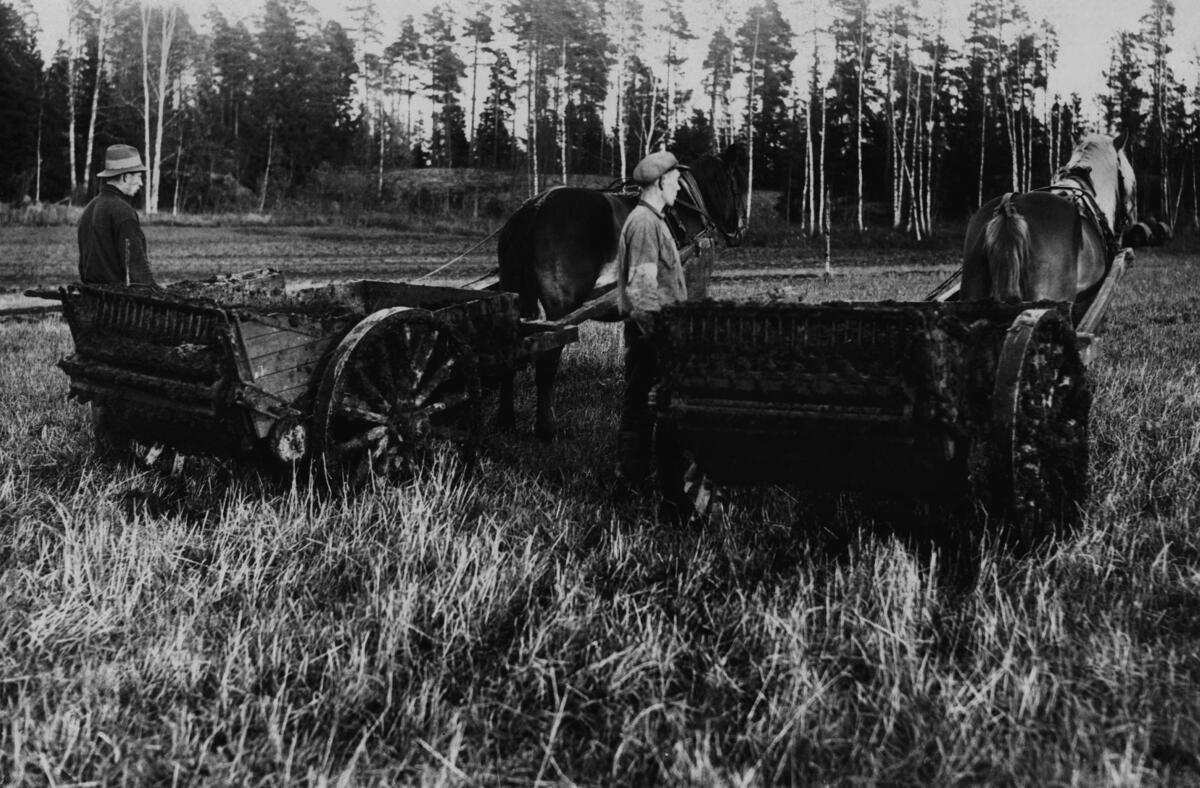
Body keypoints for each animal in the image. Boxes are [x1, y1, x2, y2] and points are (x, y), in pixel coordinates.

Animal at [492, 144, 744, 438]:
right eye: (737, 186)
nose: (740, 231)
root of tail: (535, 208)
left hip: (513, 297)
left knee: (510, 356)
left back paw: (505, 421)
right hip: (559, 309)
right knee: (547, 359)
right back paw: (546, 428)